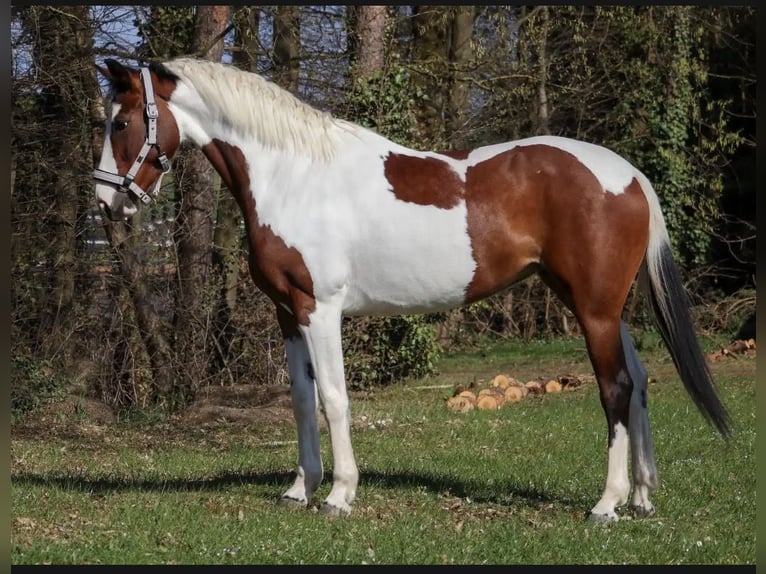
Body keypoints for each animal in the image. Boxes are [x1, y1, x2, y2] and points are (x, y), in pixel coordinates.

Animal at [93, 57, 730, 522]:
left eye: (120, 122)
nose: (106, 203)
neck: (293, 175)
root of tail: (629, 174)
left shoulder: (321, 310)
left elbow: (334, 398)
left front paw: (340, 495)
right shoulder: (288, 313)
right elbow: (300, 399)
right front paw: (299, 490)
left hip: (594, 309)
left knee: (616, 387)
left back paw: (607, 503)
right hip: (601, 305)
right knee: (640, 381)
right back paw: (642, 497)